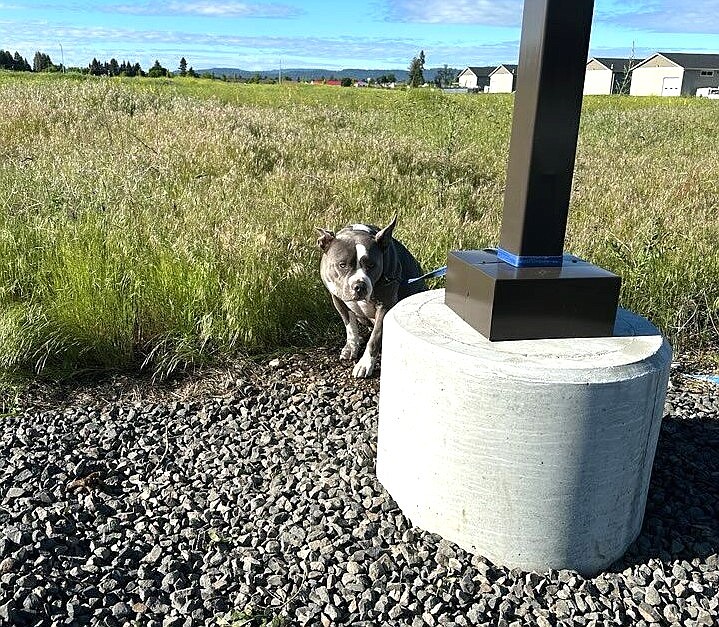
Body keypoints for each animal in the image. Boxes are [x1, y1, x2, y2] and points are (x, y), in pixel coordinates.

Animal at [316, 216, 428, 378]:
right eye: (342, 265)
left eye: (371, 265)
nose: (359, 286)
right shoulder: (338, 299)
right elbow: (350, 327)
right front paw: (351, 347)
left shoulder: (385, 305)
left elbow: (375, 337)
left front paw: (365, 364)